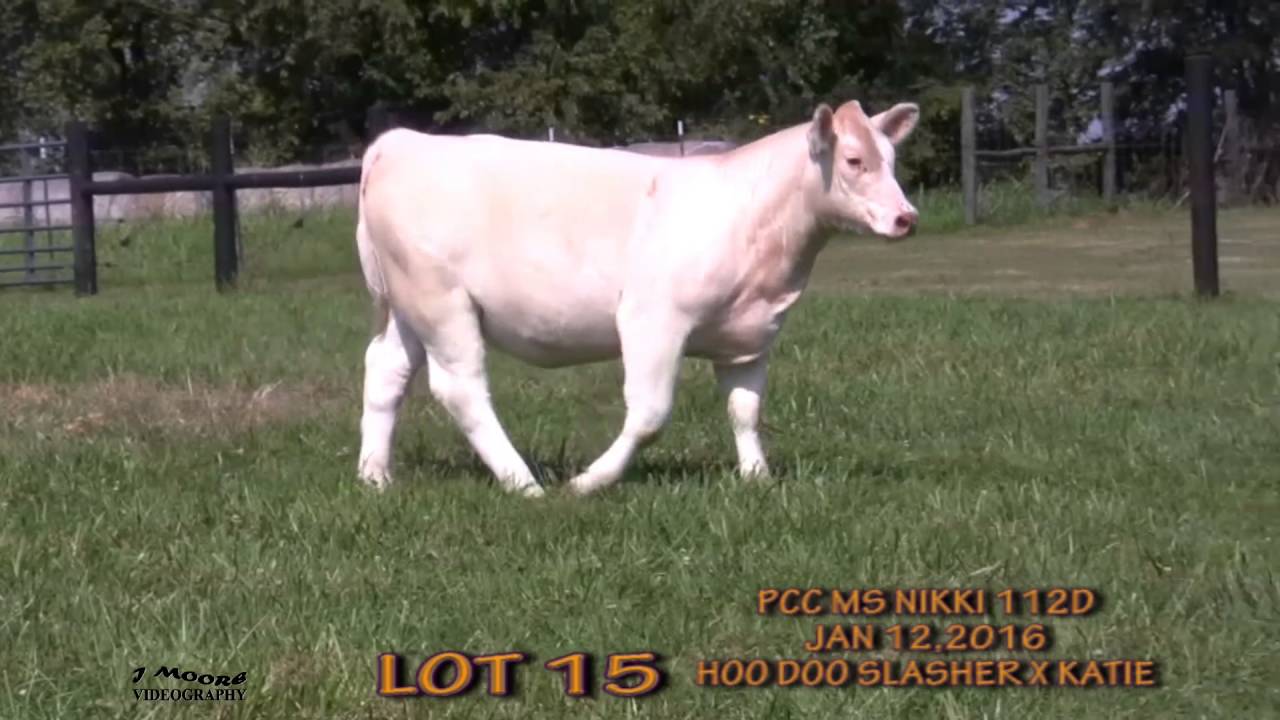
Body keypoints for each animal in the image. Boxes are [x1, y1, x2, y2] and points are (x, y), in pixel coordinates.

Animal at [355, 99, 919, 497]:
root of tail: (403, 142)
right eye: (854, 160)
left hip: (407, 305)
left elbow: (745, 409)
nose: (906, 217)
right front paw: (590, 481)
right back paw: (524, 483)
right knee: (462, 388)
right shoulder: (654, 319)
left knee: (386, 371)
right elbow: (649, 415)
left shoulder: (751, 334)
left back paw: (375, 476)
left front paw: (757, 477)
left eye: (892, 160)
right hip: (442, 301)